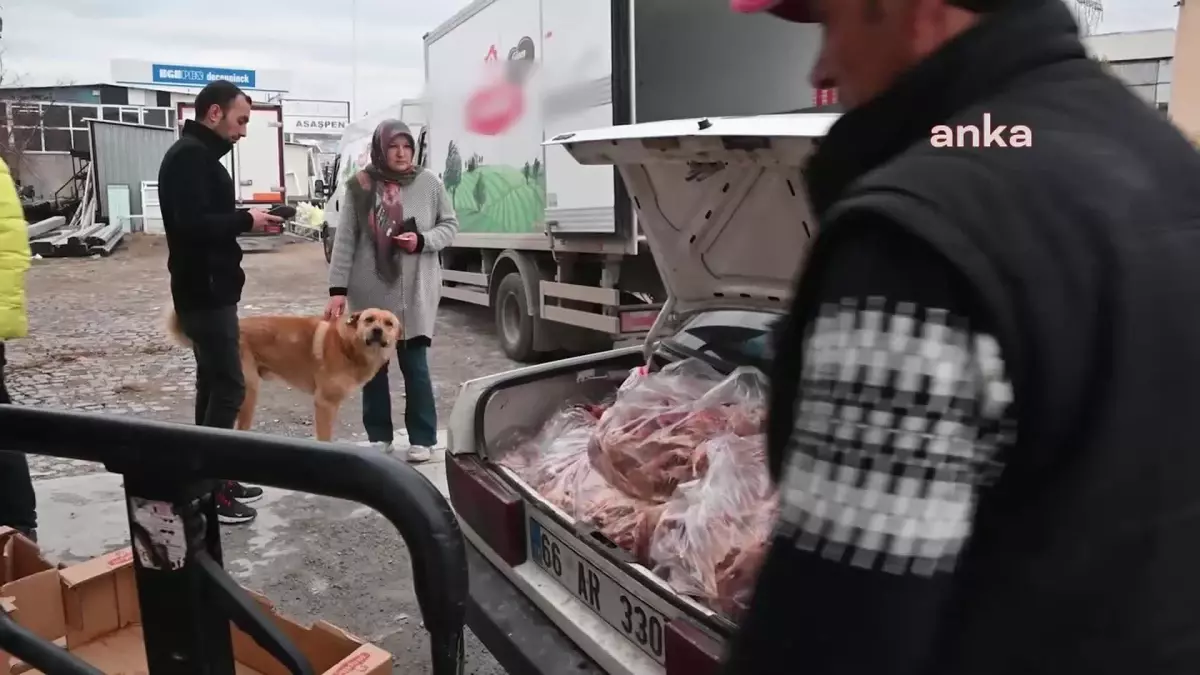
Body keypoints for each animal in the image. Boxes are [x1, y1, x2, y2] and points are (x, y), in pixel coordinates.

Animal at [163, 306, 403, 441]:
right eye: (369, 320)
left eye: (389, 324)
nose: (377, 331)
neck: (350, 346)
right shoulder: (324, 403)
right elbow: (325, 438)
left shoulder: (332, 405)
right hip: (248, 392)